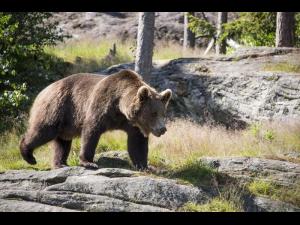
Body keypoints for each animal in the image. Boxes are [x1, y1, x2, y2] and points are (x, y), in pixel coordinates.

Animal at [19, 69, 172, 170]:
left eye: (163, 113)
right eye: (153, 113)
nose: (162, 129)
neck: (119, 107)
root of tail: (43, 91)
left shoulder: (132, 124)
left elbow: (137, 143)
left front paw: (145, 166)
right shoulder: (102, 105)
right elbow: (91, 131)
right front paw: (89, 162)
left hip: (65, 122)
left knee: (62, 142)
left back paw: (60, 163)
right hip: (57, 107)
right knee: (43, 131)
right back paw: (29, 155)